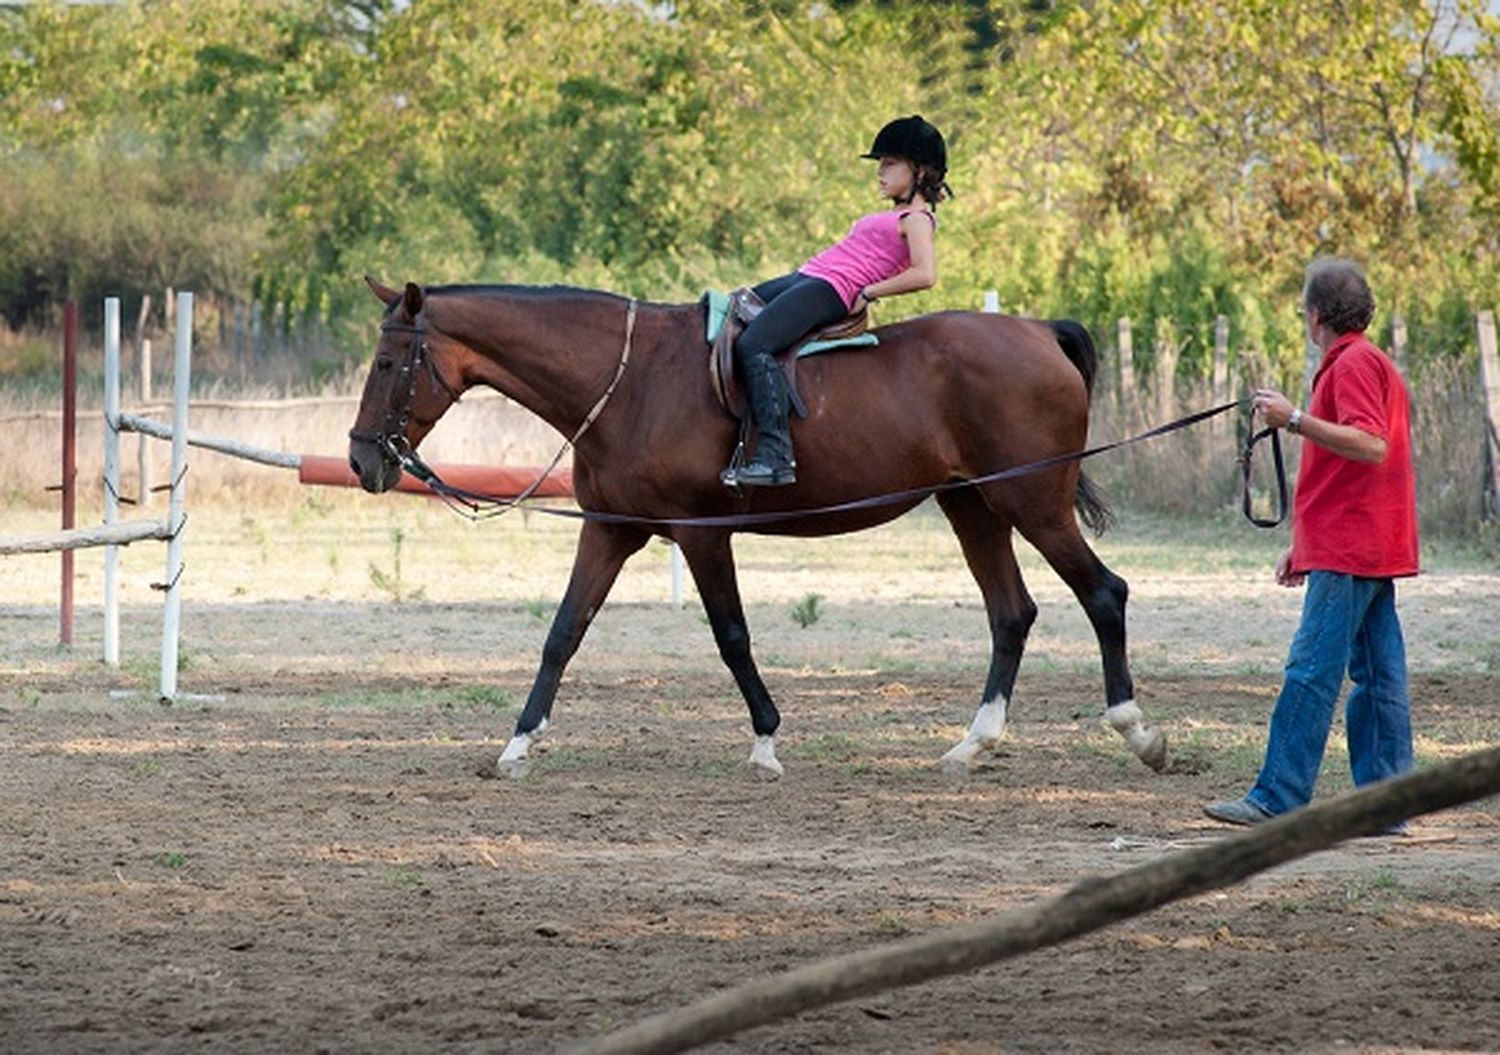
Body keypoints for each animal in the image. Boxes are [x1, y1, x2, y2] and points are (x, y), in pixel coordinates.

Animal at [345, 276, 1164, 780]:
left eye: (387, 362)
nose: (361, 460)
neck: (631, 380)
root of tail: (1040, 334)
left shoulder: (702, 533)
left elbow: (731, 636)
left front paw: (766, 740)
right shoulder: (609, 531)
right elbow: (563, 632)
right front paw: (517, 744)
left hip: (1034, 505)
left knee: (1104, 593)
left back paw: (1137, 730)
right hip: (973, 508)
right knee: (1012, 613)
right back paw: (973, 744)